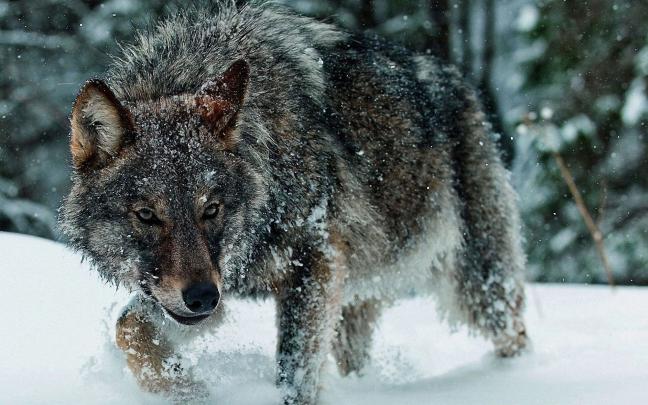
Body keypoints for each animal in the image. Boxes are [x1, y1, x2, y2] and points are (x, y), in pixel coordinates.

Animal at [60, 2, 528, 404]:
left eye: (211, 209)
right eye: (146, 215)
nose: (203, 299)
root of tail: (458, 80)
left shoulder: (311, 262)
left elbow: (294, 373)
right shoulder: (211, 285)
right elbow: (129, 327)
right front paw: (184, 389)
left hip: (477, 285)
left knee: (515, 333)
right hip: (352, 306)